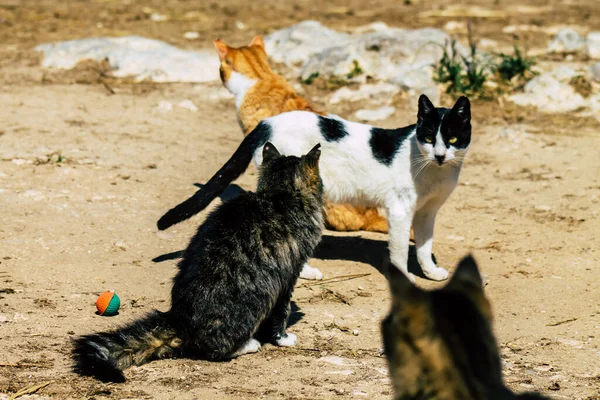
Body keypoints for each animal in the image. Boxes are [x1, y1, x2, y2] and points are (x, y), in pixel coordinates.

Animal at [75, 142, 328, 382]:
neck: (278, 195)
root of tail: (179, 320)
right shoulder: (288, 275)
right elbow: (281, 313)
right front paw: (283, 338)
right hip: (256, 300)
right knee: (216, 350)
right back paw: (247, 345)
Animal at [161, 95, 474, 282]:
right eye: (429, 138)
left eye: (453, 139)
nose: (440, 155)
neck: (433, 170)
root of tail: (268, 121)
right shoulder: (399, 211)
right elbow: (399, 253)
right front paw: (406, 279)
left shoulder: (427, 212)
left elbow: (424, 247)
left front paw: (431, 272)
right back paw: (305, 271)